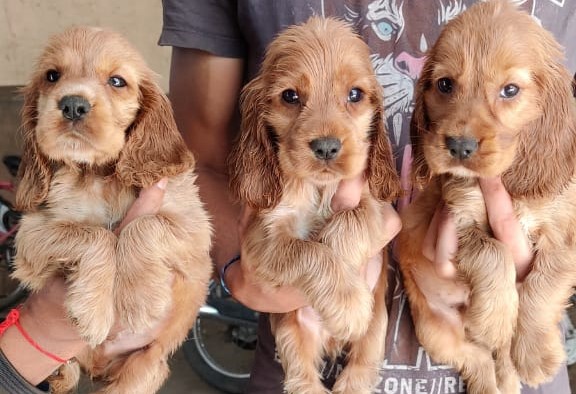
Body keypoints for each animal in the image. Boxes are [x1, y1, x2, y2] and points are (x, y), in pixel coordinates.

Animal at [11, 26, 213, 392]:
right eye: (52, 76)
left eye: (117, 81)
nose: (72, 105)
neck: (97, 175)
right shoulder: (30, 235)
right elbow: (97, 235)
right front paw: (93, 310)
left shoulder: (195, 227)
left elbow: (143, 224)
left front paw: (140, 299)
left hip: (144, 369)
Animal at [228, 16, 400, 394]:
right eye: (290, 96)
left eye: (355, 94)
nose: (326, 147)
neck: (319, 190)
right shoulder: (263, 237)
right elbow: (311, 251)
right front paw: (347, 301)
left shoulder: (375, 207)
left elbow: (349, 220)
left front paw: (348, 296)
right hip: (290, 331)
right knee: (301, 377)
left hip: (378, 325)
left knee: (361, 366)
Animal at [398, 1, 576, 392]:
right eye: (445, 84)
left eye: (510, 90)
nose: (459, 146)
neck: (509, 180)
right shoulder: (459, 215)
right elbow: (493, 252)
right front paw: (495, 319)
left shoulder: (566, 234)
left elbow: (545, 282)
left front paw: (535, 354)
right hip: (435, 334)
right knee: (479, 359)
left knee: (500, 357)